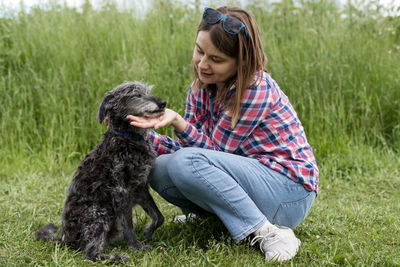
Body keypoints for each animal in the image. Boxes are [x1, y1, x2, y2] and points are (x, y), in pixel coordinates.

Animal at [34, 81, 166, 264]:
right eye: (136, 95)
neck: (128, 139)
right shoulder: (121, 193)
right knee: (90, 254)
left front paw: (148, 232)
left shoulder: (140, 188)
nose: (162, 103)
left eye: (148, 92)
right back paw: (116, 258)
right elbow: (128, 225)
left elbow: (158, 216)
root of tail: (64, 238)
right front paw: (135, 247)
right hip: (99, 213)